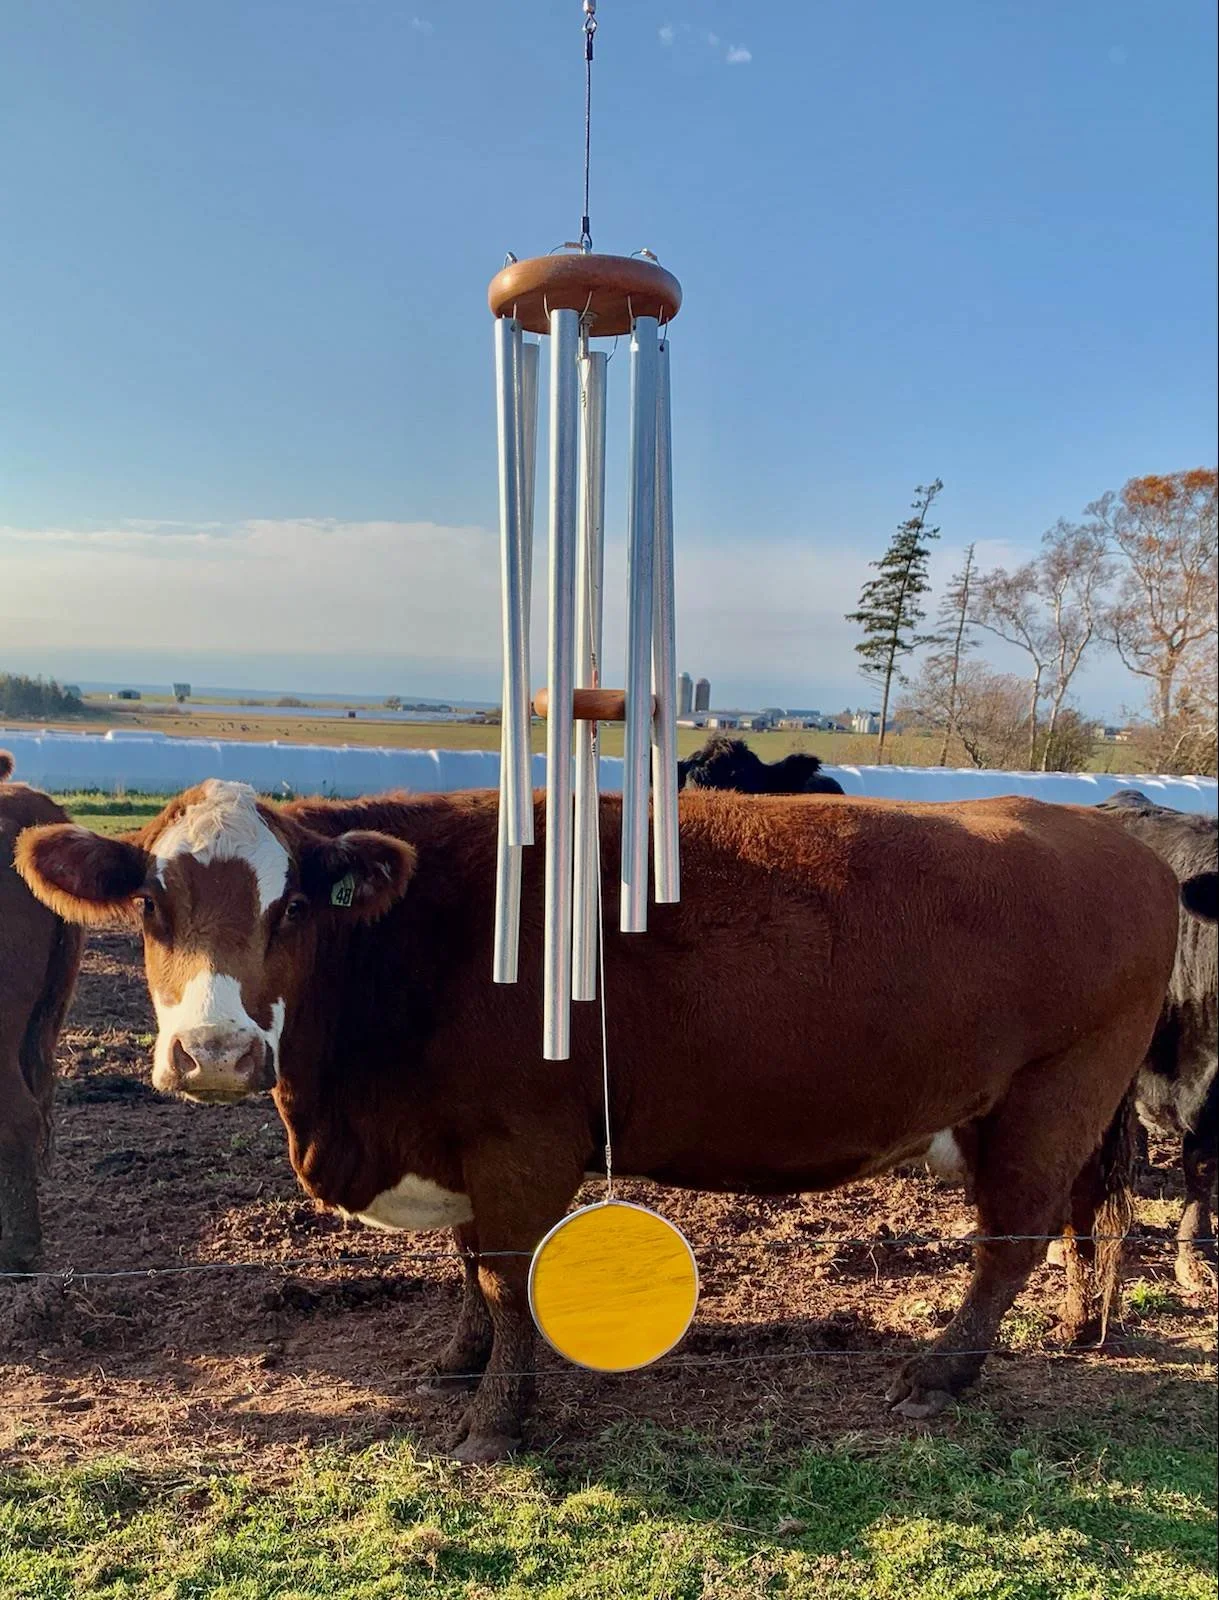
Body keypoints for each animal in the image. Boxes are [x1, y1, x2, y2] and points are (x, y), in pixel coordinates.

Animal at [17, 780, 1180, 1461]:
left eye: (291, 906)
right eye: (151, 904)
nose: (215, 1054)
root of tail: (1116, 838)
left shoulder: (523, 1142)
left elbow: (506, 1275)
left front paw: (495, 1424)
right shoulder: (459, 1144)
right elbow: (467, 1267)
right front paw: (457, 1361)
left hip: (1051, 1097)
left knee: (1011, 1240)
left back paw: (938, 1373)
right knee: (1072, 1232)